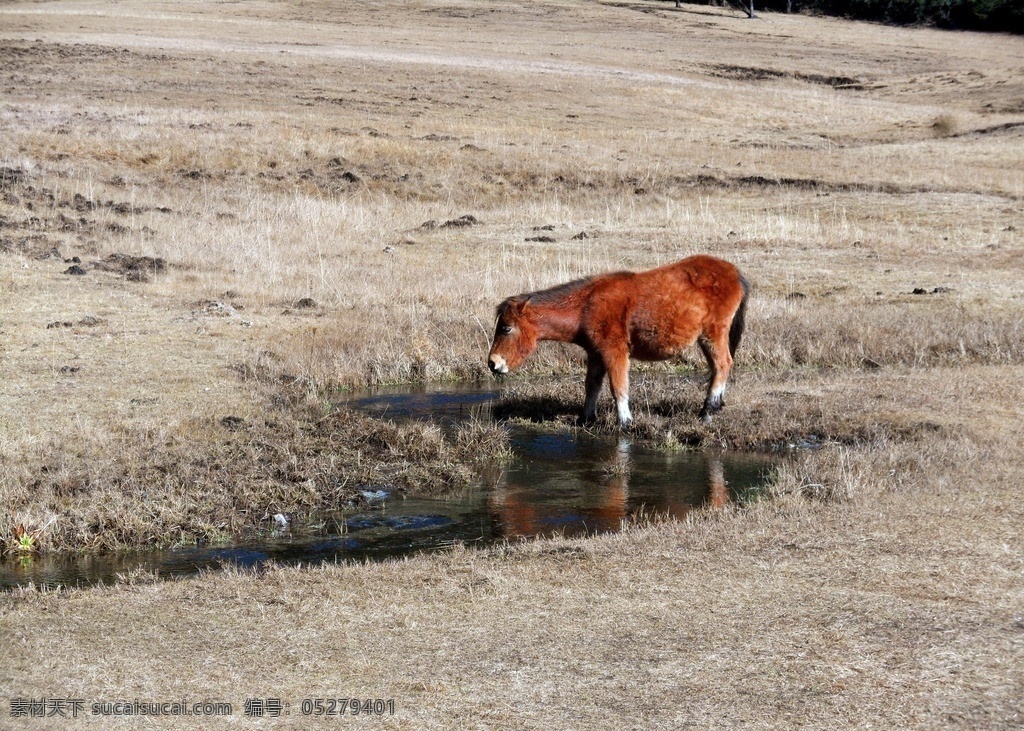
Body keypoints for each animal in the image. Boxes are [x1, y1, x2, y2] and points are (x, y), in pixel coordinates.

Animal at [483, 253, 749, 423]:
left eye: (506, 328)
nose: (493, 363)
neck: (587, 306)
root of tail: (734, 272)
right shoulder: (595, 354)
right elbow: (592, 385)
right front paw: (585, 419)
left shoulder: (615, 352)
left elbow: (618, 387)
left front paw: (625, 421)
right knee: (717, 368)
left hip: (713, 335)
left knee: (723, 365)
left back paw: (708, 411)